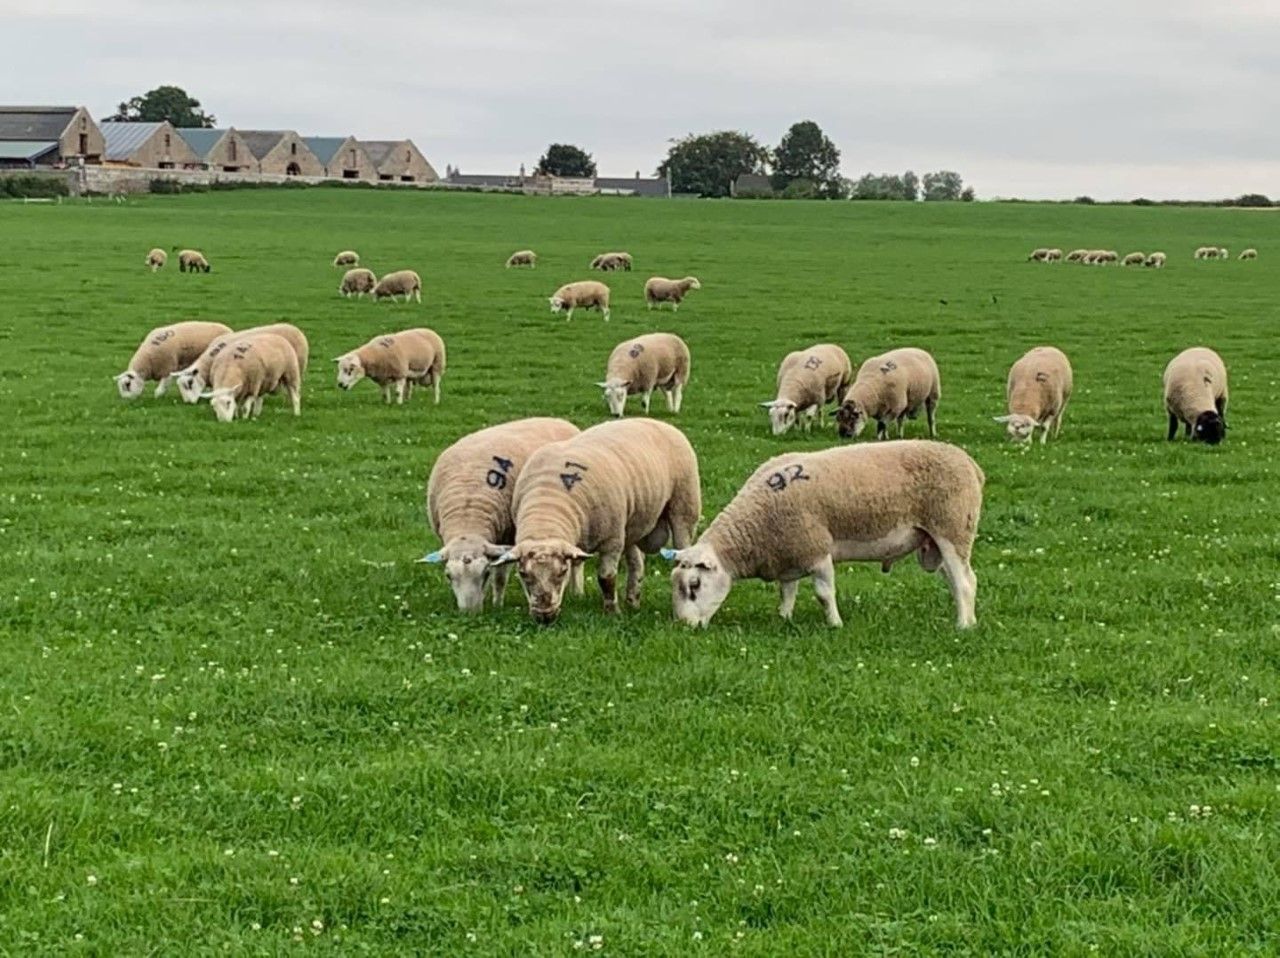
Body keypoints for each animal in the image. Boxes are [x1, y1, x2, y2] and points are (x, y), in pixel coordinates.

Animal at [172, 323, 310, 404]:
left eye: (190, 383)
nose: (188, 403)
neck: (209, 361)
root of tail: (296, 329)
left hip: (296, 367)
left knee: (293, 389)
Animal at [421, 417, 582, 612]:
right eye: (448, 576)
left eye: (486, 573)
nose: (470, 613)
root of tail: (558, 420)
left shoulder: (507, 538)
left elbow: (500, 578)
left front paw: (497, 605)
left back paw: (577, 593)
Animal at [494, 419, 701, 623]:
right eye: (523, 574)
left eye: (562, 572)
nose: (545, 616)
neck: (548, 506)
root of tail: (659, 422)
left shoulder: (612, 539)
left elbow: (606, 578)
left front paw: (612, 613)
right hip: (632, 524)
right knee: (636, 563)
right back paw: (632, 601)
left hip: (684, 507)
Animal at [664, 440, 984, 630]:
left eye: (694, 585)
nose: (684, 626)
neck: (758, 522)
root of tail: (969, 462)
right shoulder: (788, 551)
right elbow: (787, 591)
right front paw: (784, 618)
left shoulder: (816, 550)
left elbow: (824, 594)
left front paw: (835, 624)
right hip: (936, 541)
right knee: (955, 581)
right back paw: (968, 618)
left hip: (953, 528)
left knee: (965, 582)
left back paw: (963, 626)